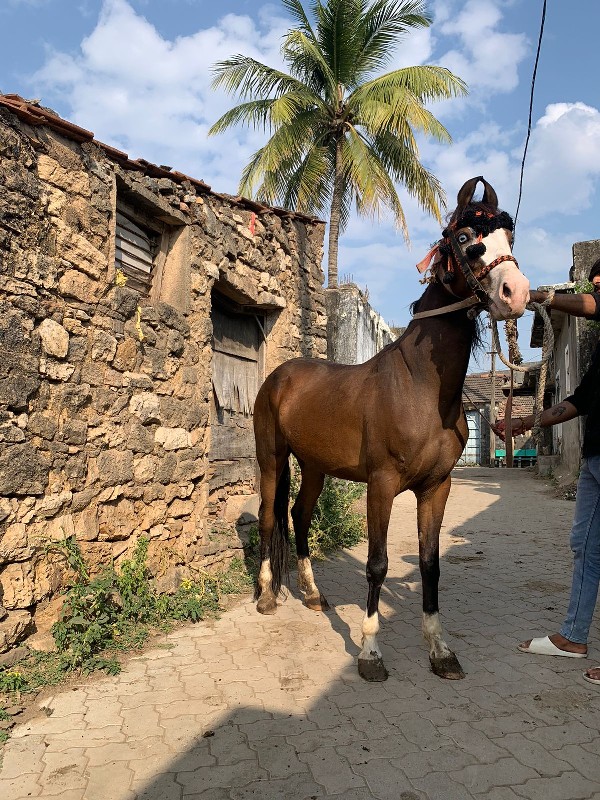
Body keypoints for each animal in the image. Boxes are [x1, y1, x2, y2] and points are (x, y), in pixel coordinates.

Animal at [253, 177, 528, 680]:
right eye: (465, 238)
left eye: (509, 238)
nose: (515, 292)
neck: (421, 387)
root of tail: (279, 377)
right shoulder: (380, 485)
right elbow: (377, 564)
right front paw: (369, 653)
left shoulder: (436, 487)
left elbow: (430, 564)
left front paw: (440, 651)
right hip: (272, 459)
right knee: (268, 517)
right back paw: (266, 596)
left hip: (315, 467)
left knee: (299, 515)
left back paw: (314, 595)